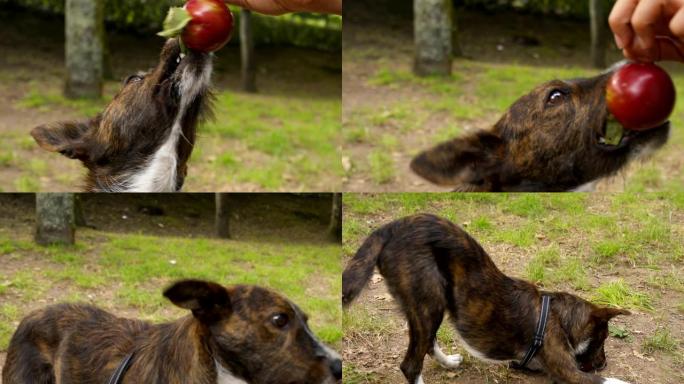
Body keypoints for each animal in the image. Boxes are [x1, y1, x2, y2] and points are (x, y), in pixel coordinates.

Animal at [344, 214, 632, 384]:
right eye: (603, 339)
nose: (604, 364)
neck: (558, 315)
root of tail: (390, 228)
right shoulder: (568, 371)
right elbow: (611, 382)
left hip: (432, 304)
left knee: (427, 343)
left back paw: (448, 362)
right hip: (428, 302)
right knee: (411, 365)